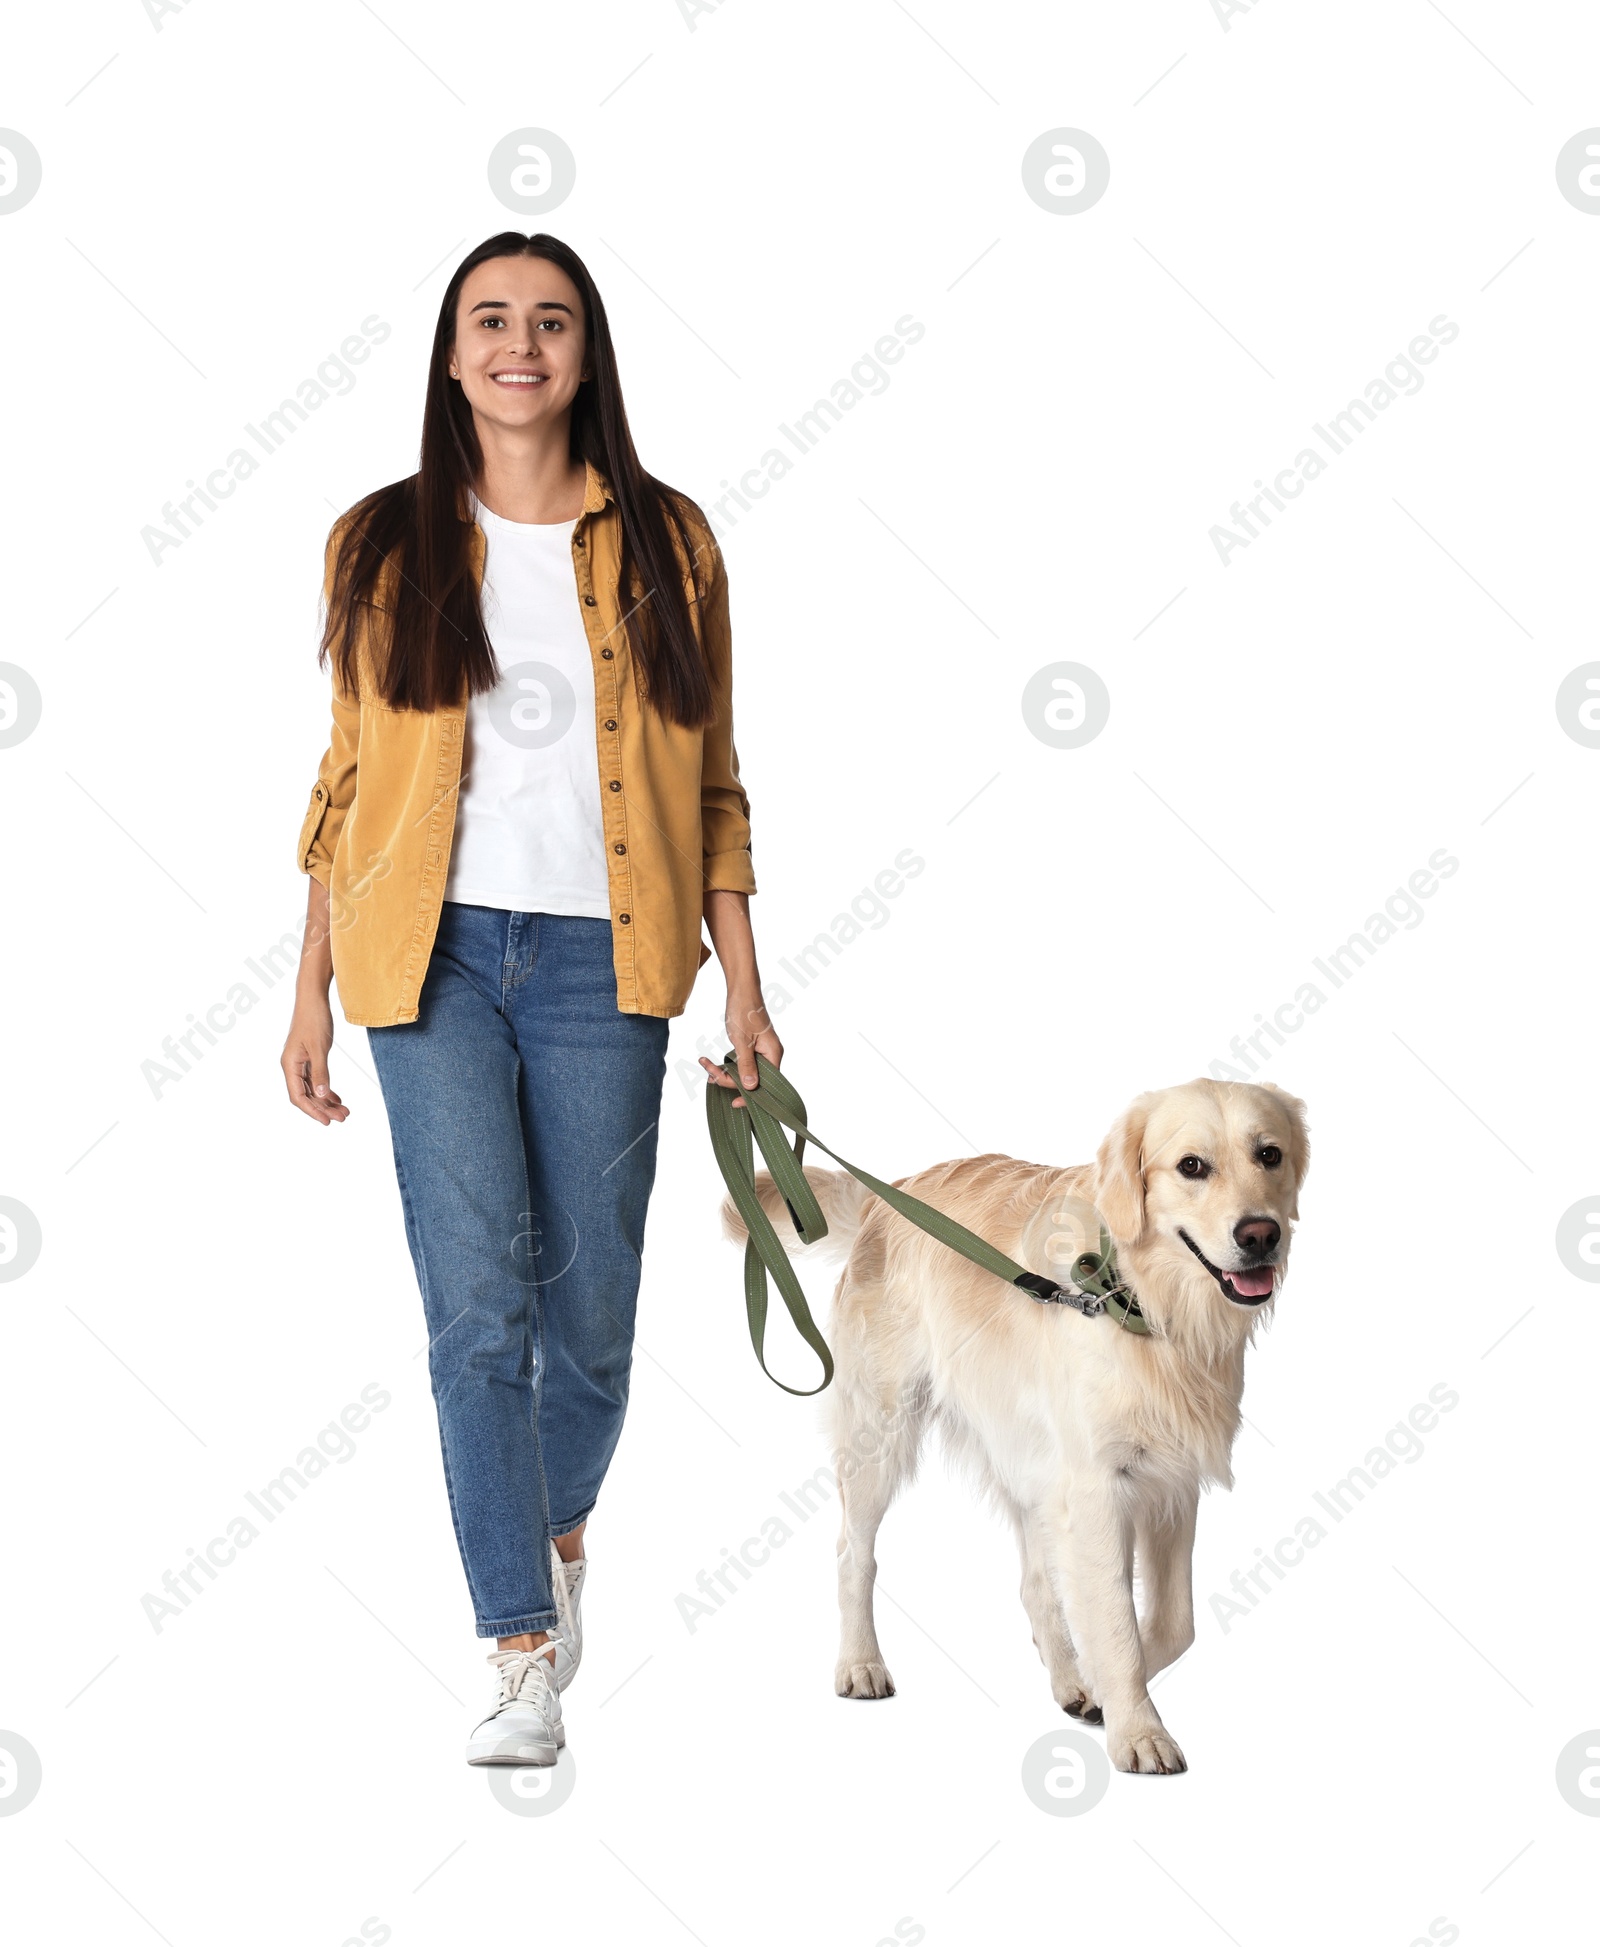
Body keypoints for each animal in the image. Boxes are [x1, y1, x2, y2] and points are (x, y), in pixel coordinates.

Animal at [727, 1082, 1315, 1783]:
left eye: (1269, 1154)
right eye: (1192, 1166)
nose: (1261, 1234)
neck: (1137, 1297)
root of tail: (886, 1196)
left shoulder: (1169, 1484)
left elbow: (1173, 1623)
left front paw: (1105, 1694)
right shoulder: (1097, 1486)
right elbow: (1117, 1619)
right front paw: (1139, 1731)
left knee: (1035, 1585)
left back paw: (1070, 1681)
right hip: (881, 1434)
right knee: (853, 1554)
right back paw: (861, 1664)